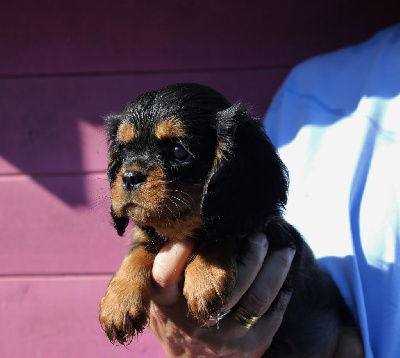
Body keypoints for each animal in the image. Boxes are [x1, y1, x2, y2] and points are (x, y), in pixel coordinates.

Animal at [99, 83, 360, 356]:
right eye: (123, 150)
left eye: (179, 151)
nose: (129, 176)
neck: (183, 227)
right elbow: (138, 250)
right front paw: (118, 301)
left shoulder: (275, 236)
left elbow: (224, 234)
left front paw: (206, 276)